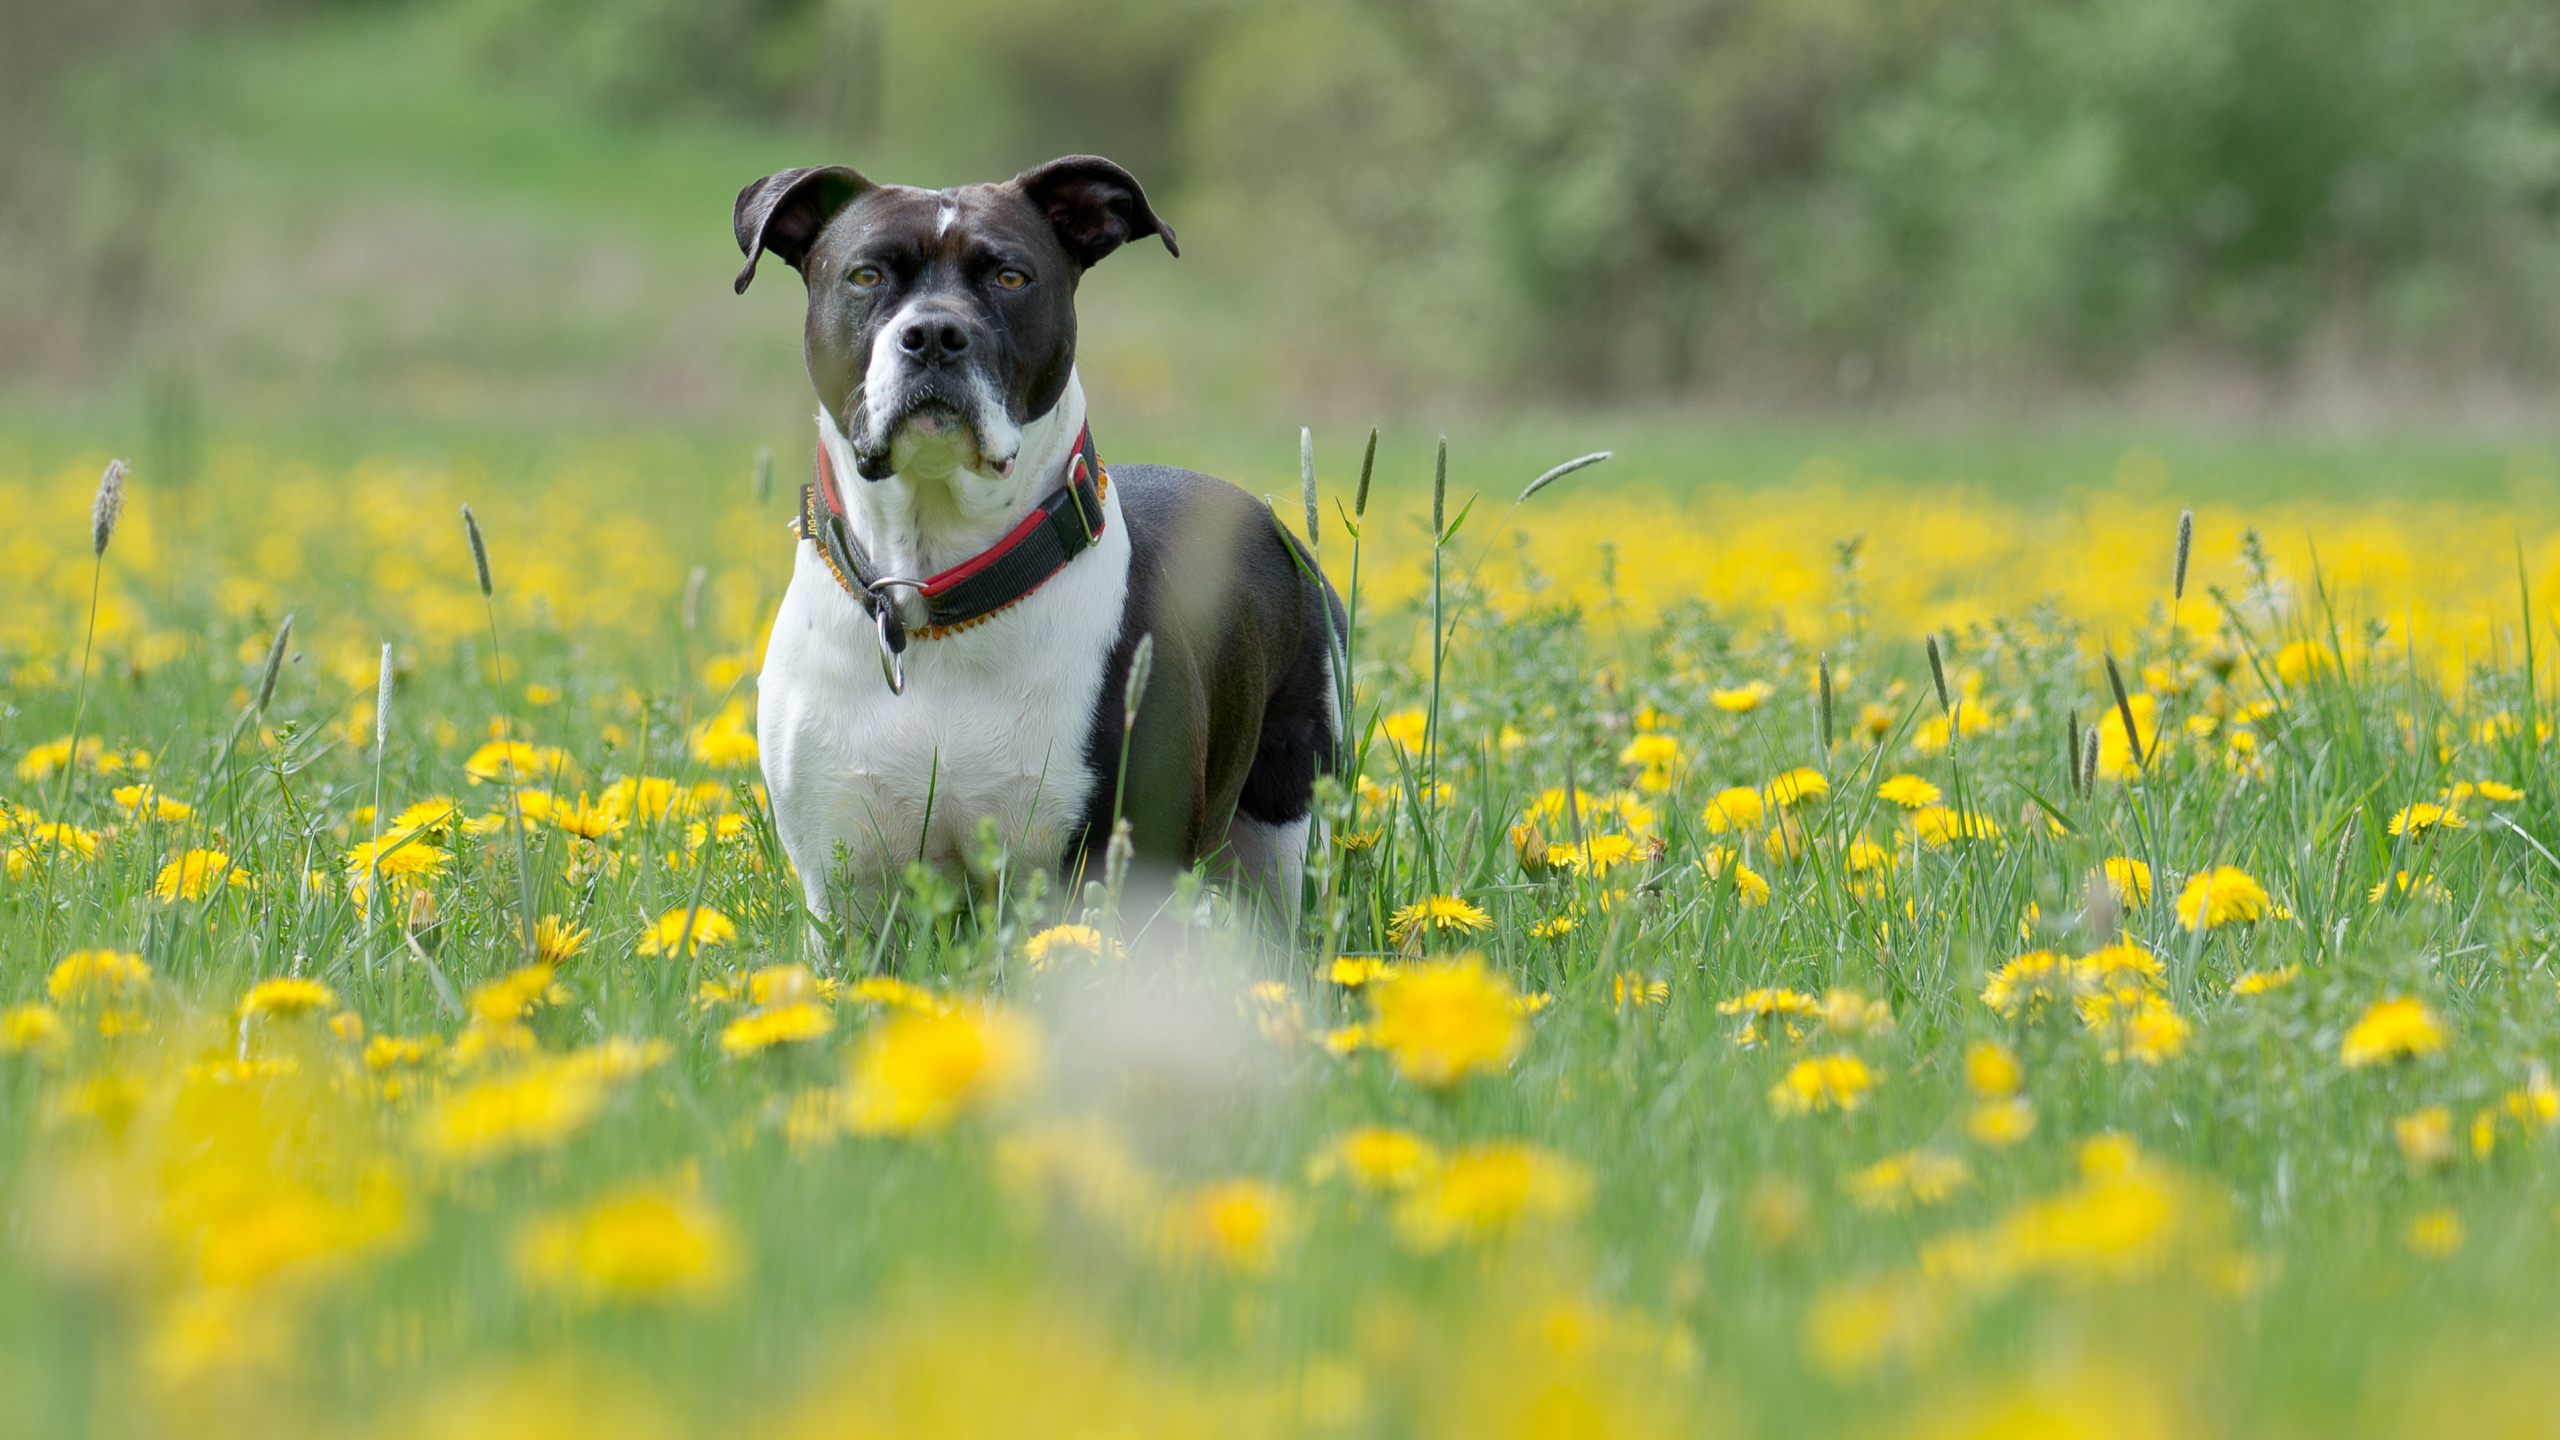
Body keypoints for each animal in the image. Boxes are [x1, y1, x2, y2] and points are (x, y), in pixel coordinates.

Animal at [732, 156, 1341, 917]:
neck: (933, 599)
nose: (934, 335)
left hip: (1288, 831)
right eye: (866, 275)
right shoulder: (849, 887)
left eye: (1011, 277)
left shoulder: (1119, 864)